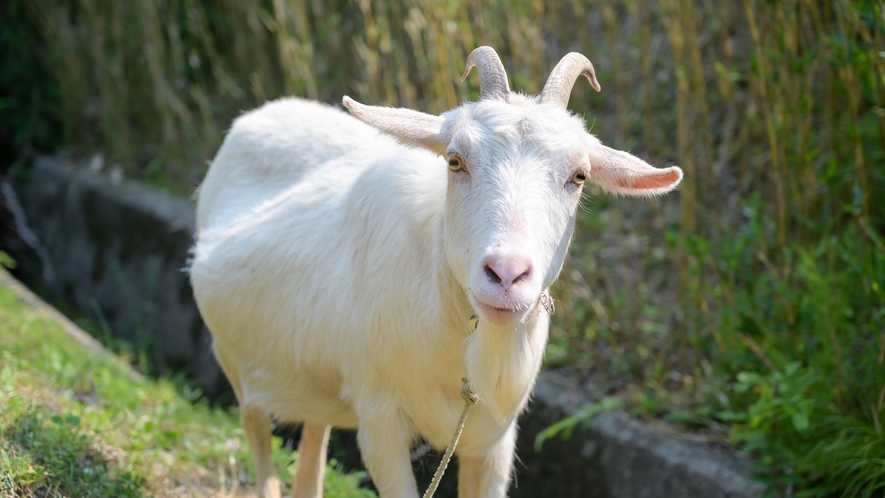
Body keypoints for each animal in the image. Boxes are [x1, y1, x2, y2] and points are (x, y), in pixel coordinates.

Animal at [188, 47, 684, 498]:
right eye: (455, 160)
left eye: (579, 176)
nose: (506, 275)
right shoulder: (380, 421)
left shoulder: (493, 440)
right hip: (234, 361)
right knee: (259, 439)